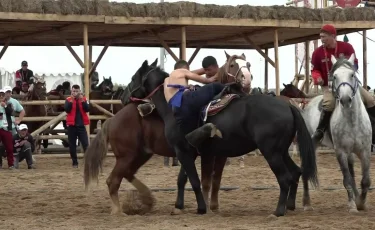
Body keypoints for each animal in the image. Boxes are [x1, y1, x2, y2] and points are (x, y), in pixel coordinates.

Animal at [83, 51, 251, 215]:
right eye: (233, 65)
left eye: (248, 64)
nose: (247, 81)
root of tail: (112, 120)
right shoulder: (195, 153)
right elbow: (201, 180)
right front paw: (204, 207)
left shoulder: (192, 153)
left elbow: (193, 179)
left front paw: (184, 206)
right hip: (126, 156)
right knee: (114, 180)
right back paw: (119, 210)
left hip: (140, 154)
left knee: (126, 173)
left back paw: (146, 199)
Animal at [128, 61, 318, 217]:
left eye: (133, 77)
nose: (125, 96)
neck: (172, 107)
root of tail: (287, 105)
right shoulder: (188, 153)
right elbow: (183, 179)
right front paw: (179, 206)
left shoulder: (183, 151)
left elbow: (195, 180)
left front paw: (201, 208)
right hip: (281, 151)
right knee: (295, 172)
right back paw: (290, 205)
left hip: (271, 153)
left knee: (285, 178)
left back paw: (278, 211)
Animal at [302, 54, 372, 212]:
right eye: (334, 76)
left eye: (352, 75)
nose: (346, 100)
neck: (352, 120)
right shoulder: (340, 152)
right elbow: (347, 179)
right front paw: (352, 205)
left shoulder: (365, 151)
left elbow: (365, 180)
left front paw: (361, 203)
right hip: (311, 145)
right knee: (305, 170)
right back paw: (306, 203)